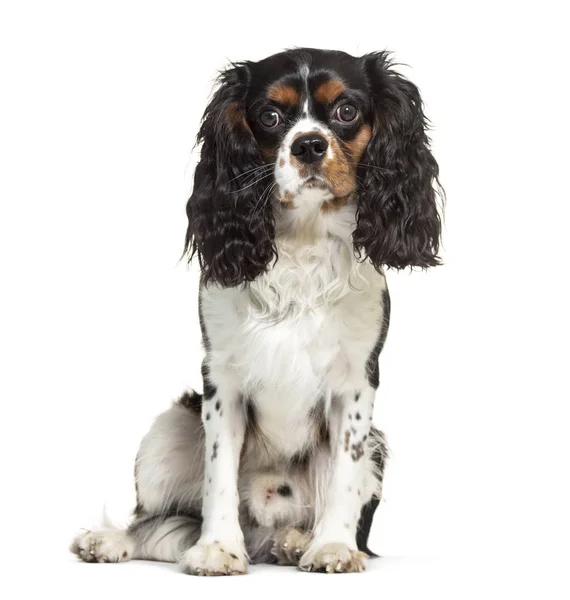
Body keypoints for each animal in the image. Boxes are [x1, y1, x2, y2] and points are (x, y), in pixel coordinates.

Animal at [71, 48, 442, 576]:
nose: (309, 145)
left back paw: (294, 541)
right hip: (168, 430)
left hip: (378, 446)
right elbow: (219, 475)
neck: (302, 241)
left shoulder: (354, 385)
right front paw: (217, 548)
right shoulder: (222, 379)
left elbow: (343, 476)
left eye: (347, 111)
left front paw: (332, 546)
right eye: (269, 116)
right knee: (152, 523)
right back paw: (113, 541)